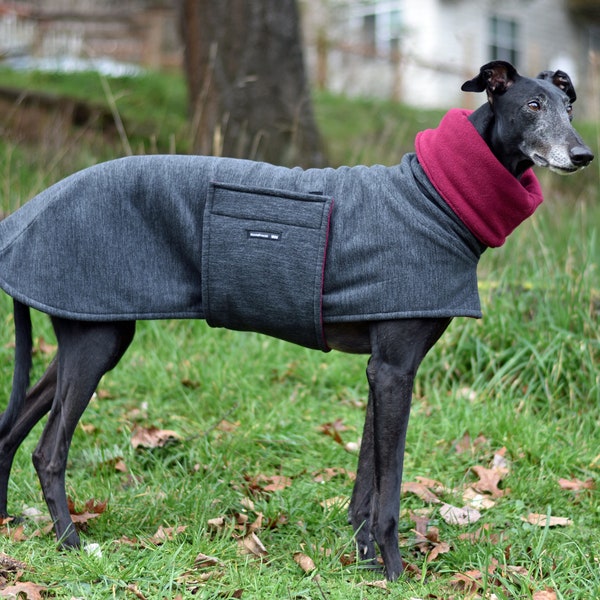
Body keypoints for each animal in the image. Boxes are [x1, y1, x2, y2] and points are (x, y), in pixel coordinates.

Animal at [0, 59, 592, 576]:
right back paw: (72, 541)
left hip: (87, 338)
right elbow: (389, 491)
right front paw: (395, 573)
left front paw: (365, 562)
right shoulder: (395, 368)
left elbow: (365, 483)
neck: (435, 195)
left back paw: (10, 524)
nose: (582, 154)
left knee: (10, 433)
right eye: (533, 104)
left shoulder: (382, 369)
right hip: (95, 341)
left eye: (569, 105)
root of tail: (25, 215)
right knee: (48, 453)